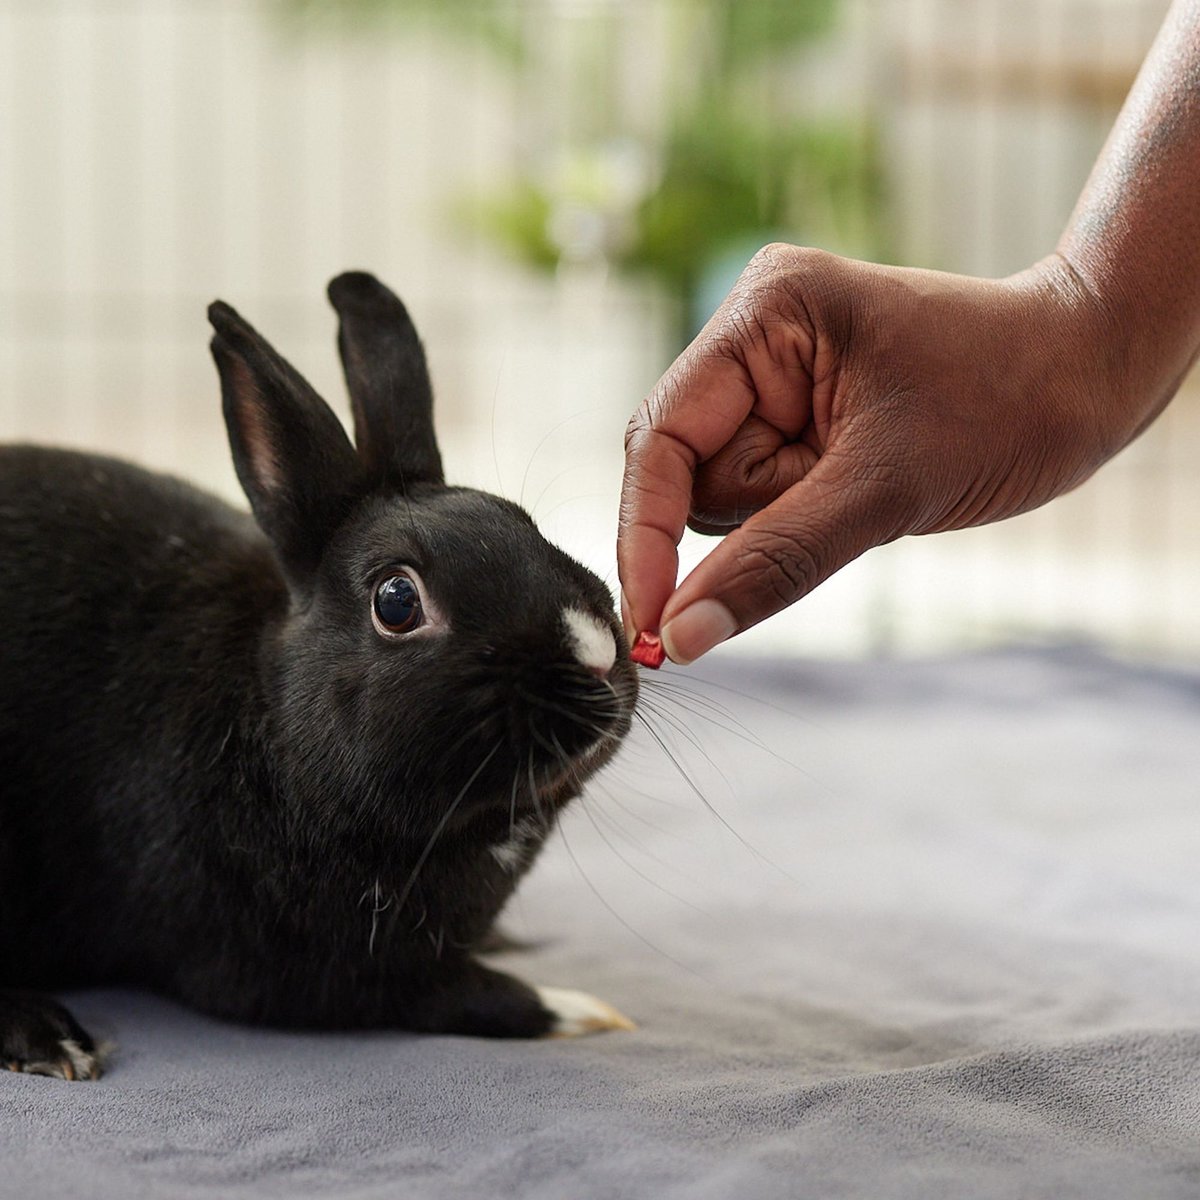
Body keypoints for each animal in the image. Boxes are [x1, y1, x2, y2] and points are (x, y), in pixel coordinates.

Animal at [0, 272, 638, 1080]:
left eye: (523, 522)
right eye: (396, 601)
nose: (596, 651)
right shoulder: (314, 976)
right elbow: (466, 997)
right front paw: (582, 1009)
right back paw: (52, 1039)